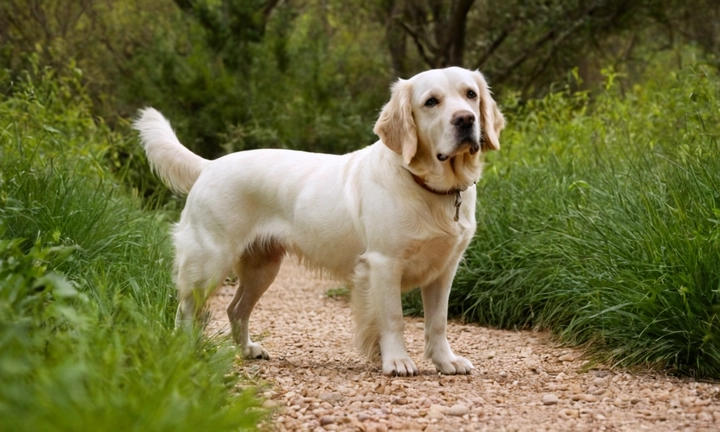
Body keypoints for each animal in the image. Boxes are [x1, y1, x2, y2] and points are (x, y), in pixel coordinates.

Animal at [136, 66, 506, 374]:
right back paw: (185, 352)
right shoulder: (384, 264)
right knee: (186, 310)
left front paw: (445, 361)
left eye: (470, 94)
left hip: (262, 269)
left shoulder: (445, 269)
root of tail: (209, 165)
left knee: (235, 309)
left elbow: (438, 322)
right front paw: (397, 361)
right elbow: (393, 318)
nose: (465, 120)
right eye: (431, 101)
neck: (428, 187)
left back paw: (248, 350)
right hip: (209, 263)